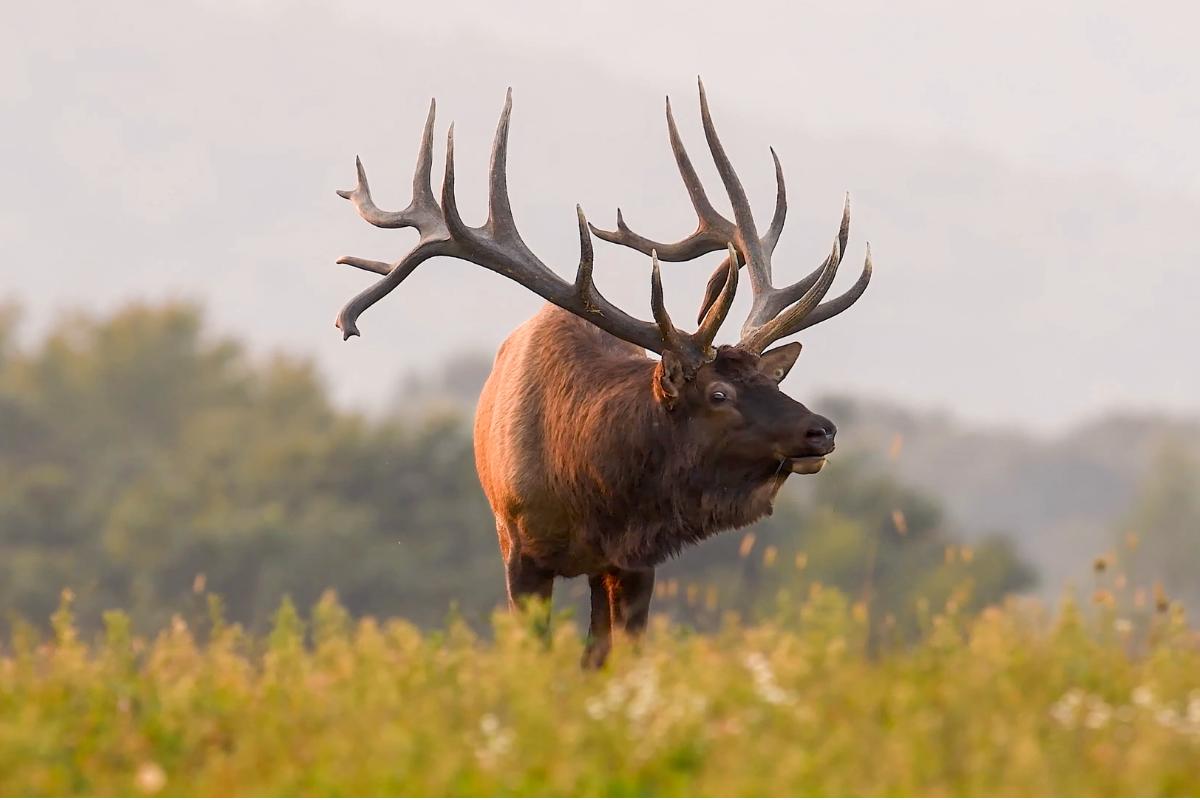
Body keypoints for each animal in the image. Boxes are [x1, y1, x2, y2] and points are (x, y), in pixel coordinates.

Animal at [334, 80, 872, 667]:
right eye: (718, 393)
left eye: (773, 380)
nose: (822, 430)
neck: (587, 489)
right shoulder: (520, 548)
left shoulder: (635, 561)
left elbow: (616, 657)